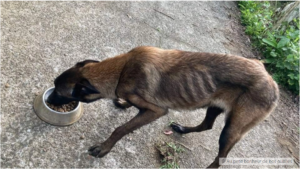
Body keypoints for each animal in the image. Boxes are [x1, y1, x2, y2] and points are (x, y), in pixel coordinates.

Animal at [47, 46, 278, 168]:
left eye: (58, 92)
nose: (49, 101)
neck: (122, 69)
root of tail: (271, 80)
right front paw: (123, 103)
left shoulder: (155, 111)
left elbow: (120, 129)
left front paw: (104, 148)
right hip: (212, 105)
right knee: (207, 125)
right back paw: (183, 129)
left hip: (231, 130)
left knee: (221, 159)